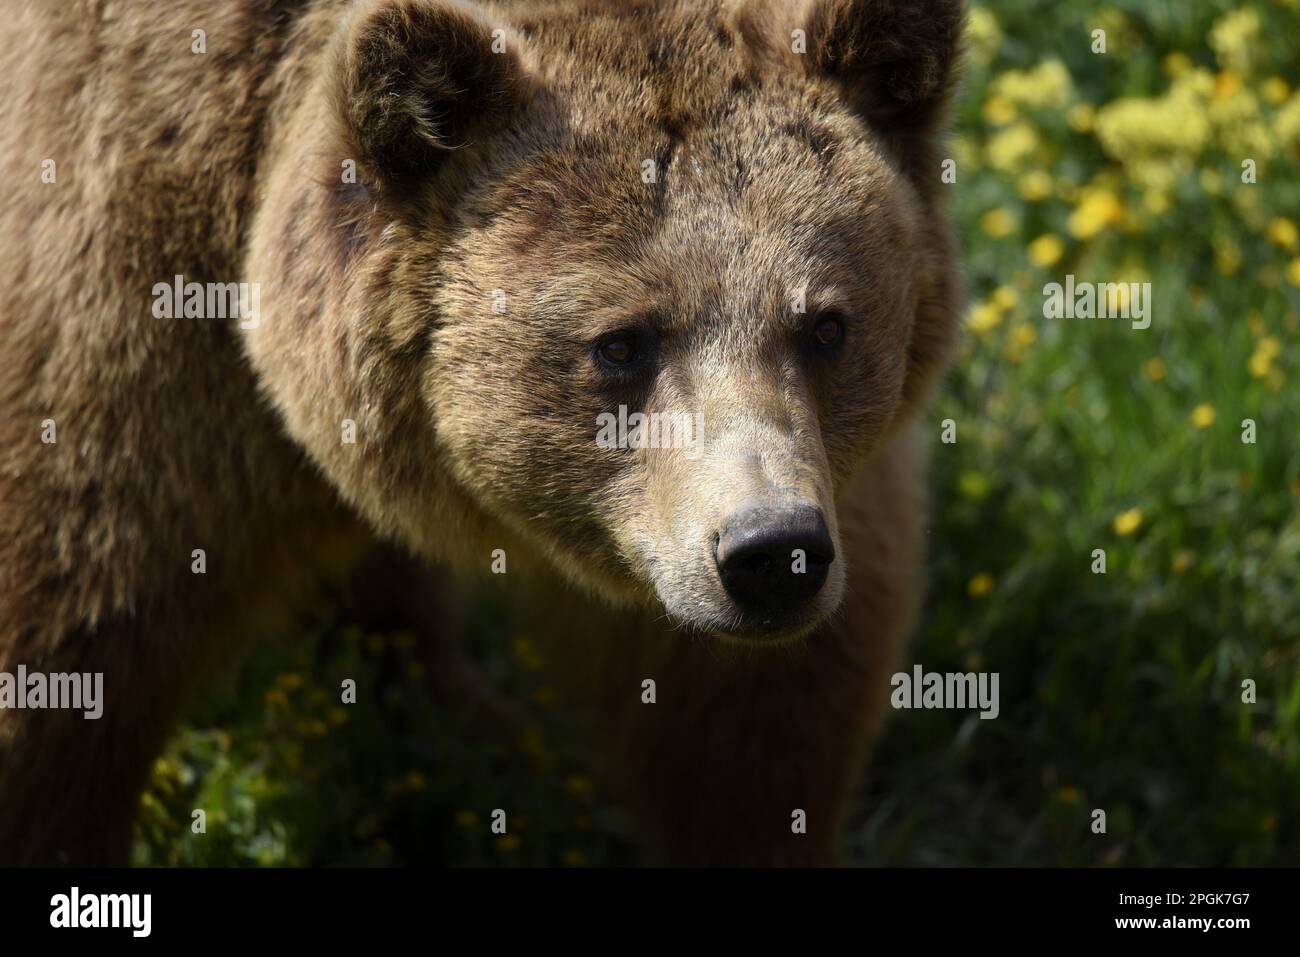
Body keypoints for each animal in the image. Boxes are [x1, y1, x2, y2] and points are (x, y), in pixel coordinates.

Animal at [0, 0, 962, 866]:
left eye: (826, 325)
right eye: (622, 341)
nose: (772, 553)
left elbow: (752, 708)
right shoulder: (125, 279)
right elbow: (68, 630)